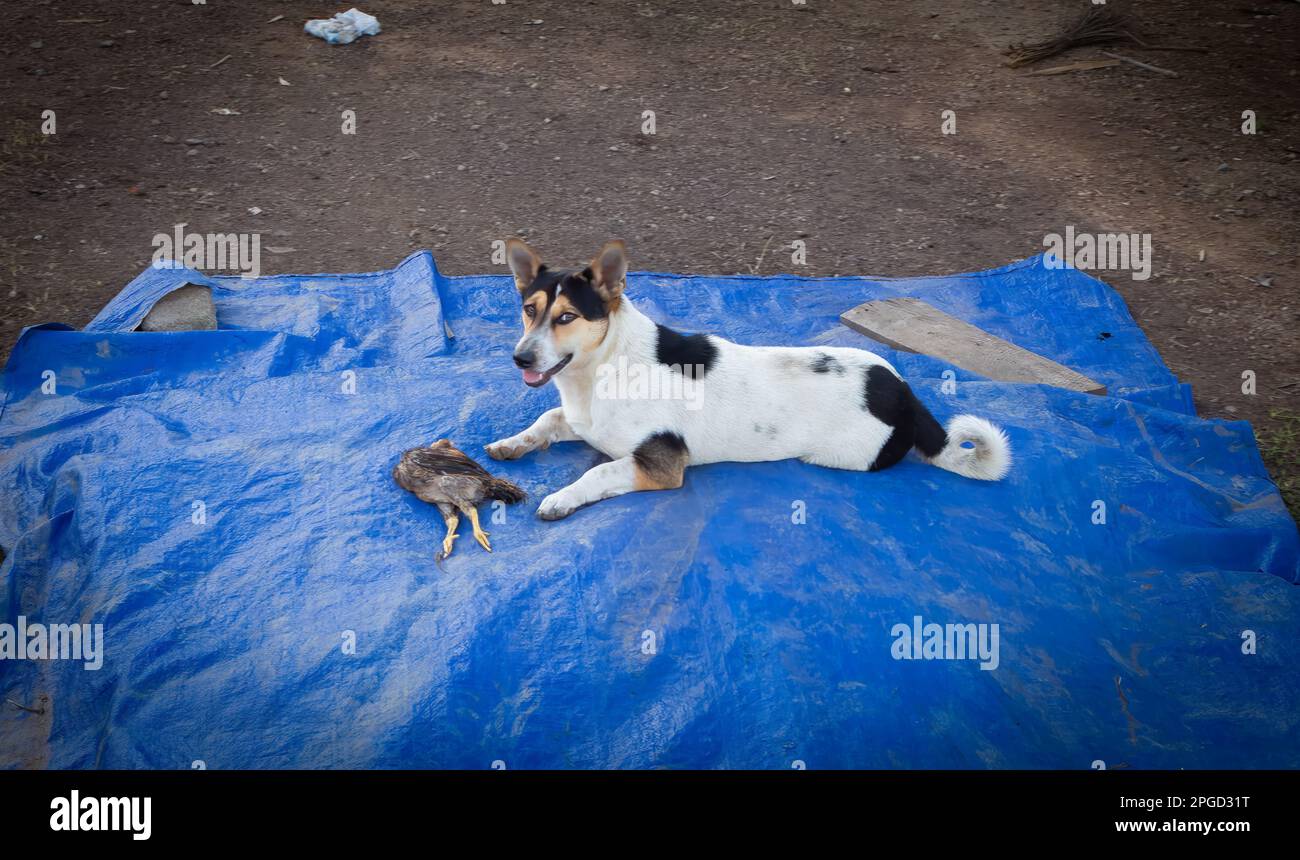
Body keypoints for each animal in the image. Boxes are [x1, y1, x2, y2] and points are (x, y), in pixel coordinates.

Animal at [488, 239, 1013, 522]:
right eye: (529, 310)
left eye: (567, 317)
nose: (519, 357)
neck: (604, 367)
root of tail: (905, 394)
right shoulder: (580, 419)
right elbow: (547, 418)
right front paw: (512, 444)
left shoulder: (662, 466)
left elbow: (596, 471)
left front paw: (561, 497)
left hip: (842, 455)